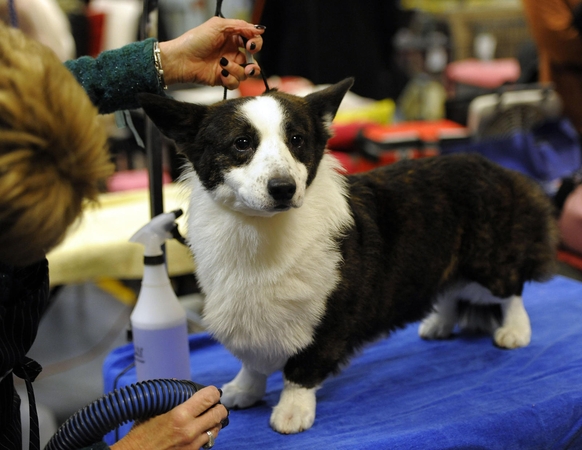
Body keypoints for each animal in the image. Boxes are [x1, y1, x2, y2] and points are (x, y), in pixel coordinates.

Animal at [137, 78, 560, 436]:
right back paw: (439, 323)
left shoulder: (328, 317)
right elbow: (253, 363)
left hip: (489, 262)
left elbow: (301, 369)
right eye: (242, 143)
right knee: (451, 289)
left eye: (297, 139)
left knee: (511, 290)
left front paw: (291, 413)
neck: (260, 231)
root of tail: (500, 169)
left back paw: (515, 331)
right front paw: (243, 390)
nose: (283, 188)